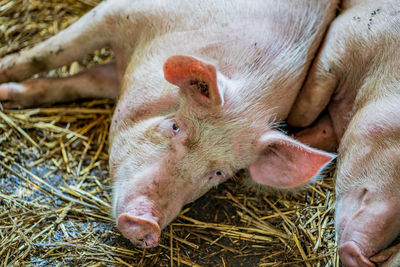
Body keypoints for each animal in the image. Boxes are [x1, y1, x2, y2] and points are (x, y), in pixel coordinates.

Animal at [0, 0, 338, 249]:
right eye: (175, 126)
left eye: (218, 173)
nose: (146, 223)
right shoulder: (118, 11)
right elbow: (46, 56)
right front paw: (5, 76)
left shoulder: (118, 77)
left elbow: (77, 84)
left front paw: (10, 93)